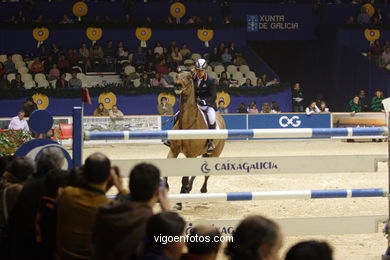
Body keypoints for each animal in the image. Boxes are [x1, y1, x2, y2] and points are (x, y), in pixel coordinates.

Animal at [166, 70, 227, 203]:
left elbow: (184, 179)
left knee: (206, 174)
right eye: (177, 76)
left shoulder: (190, 155)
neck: (187, 123)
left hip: (214, 154)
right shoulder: (173, 150)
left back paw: (202, 189)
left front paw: (179, 202)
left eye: (189, 77)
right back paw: (189, 188)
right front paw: (165, 186)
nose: (177, 86)